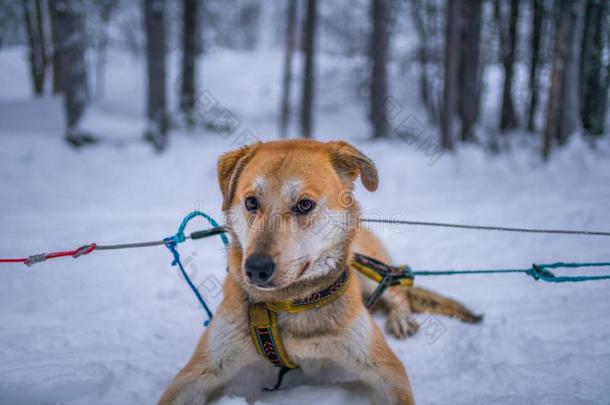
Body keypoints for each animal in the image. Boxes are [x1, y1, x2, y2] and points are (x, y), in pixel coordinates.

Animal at [160, 140, 480, 404]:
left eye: (304, 205)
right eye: (251, 202)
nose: (256, 268)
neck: (290, 304)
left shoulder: (385, 367)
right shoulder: (201, 369)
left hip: (369, 270)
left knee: (396, 289)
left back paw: (401, 319)